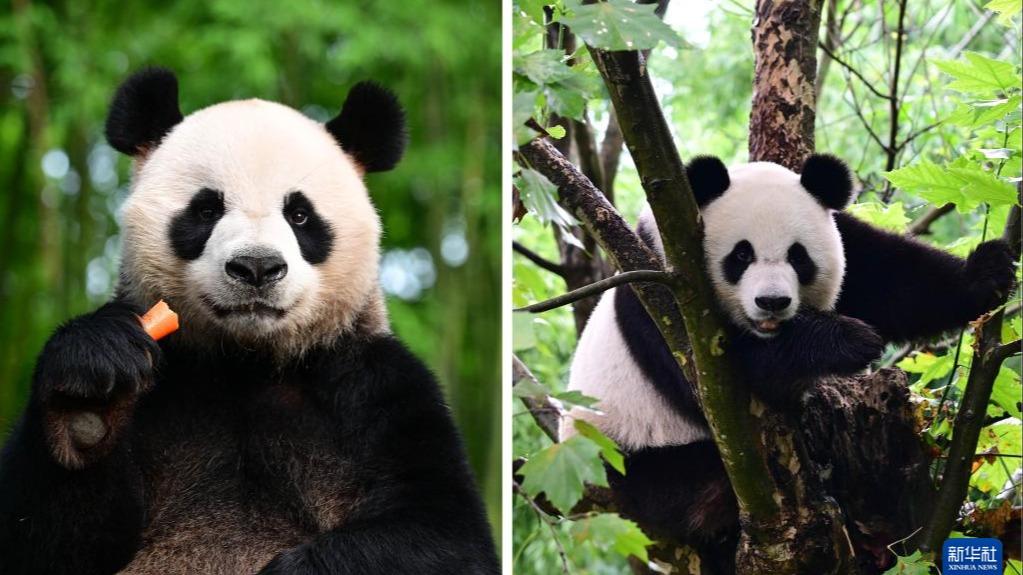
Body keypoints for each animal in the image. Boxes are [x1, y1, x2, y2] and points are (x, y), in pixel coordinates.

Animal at [0, 68, 499, 572]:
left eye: (300, 215)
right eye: (206, 209)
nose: (257, 267)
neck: (247, 362)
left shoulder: (374, 388)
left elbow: (445, 533)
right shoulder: (166, 386)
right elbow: (44, 538)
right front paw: (89, 399)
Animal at [564, 152, 1018, 564]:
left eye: (798, 256)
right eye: (741, 255)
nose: (772, 302)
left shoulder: (847, 242)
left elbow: (894, 279)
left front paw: (988, 272)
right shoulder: (663, 296)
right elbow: (722, 377)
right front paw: (848, 340)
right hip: (639, 460)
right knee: (701, 488)